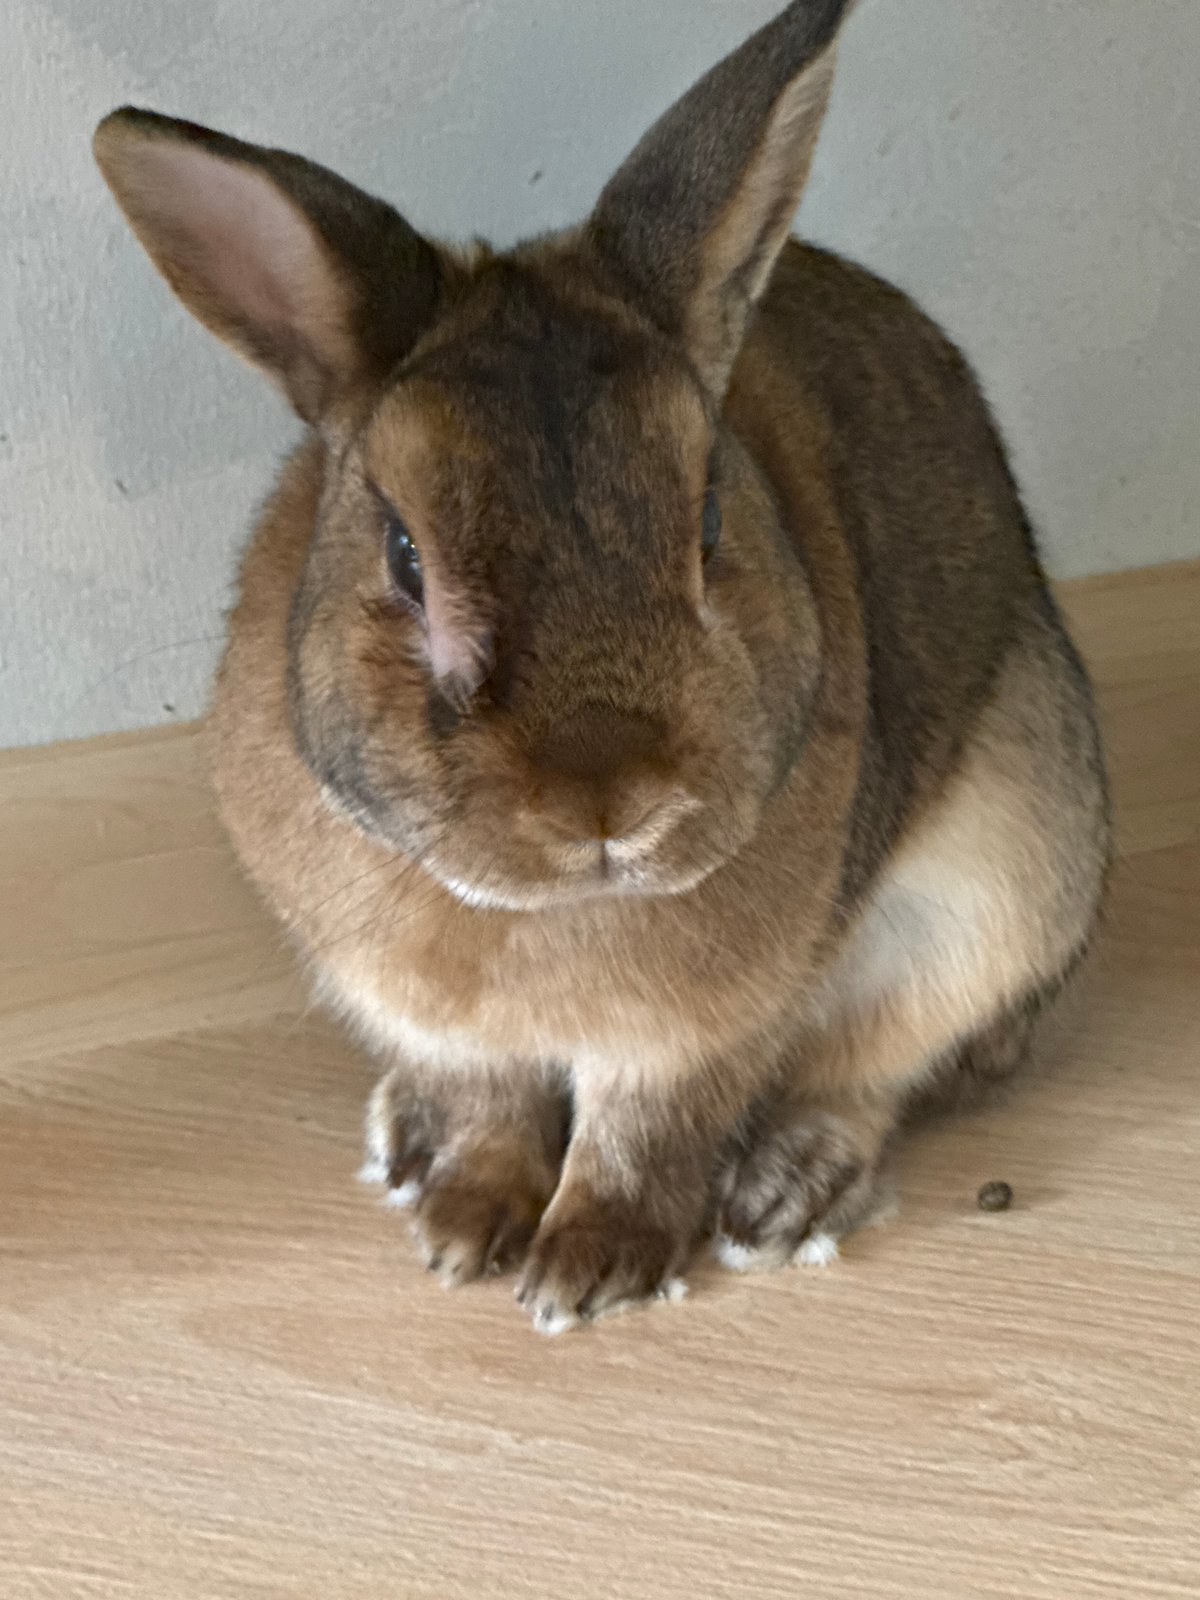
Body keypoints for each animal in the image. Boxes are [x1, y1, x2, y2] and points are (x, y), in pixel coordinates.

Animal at [93, 0, 1110, 1333]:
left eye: (711, 520)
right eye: (406, 556)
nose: (608, 799)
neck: (549, 915)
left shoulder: (701, 1035)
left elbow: (648, 1131)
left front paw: (587, 1269)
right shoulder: (448, 1029)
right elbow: (492, 1113)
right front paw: (464, 1226)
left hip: (1009, 879)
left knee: (881, 1071)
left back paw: (788, 1191)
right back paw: (406, 1140)